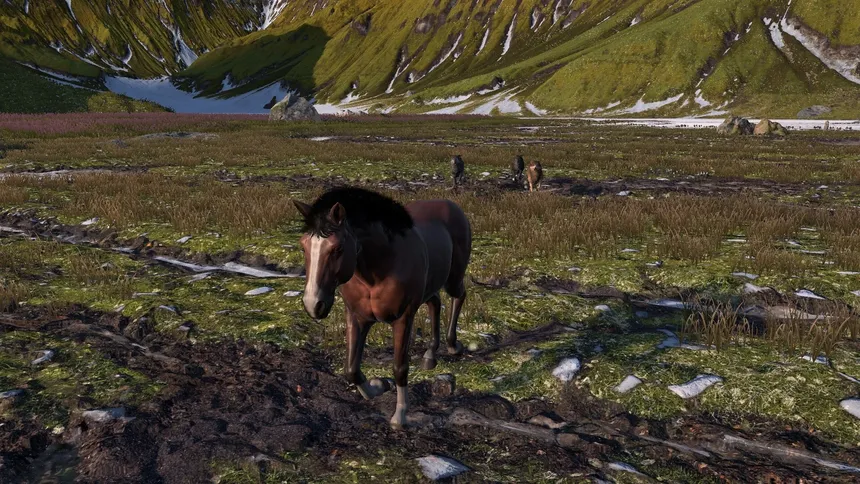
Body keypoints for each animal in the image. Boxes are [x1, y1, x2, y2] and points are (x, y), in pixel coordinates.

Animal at [293, 186, 472, 428]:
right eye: (303, 247)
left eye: (337, 248)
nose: (313, 304)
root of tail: (451, 205)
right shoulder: (356, 317)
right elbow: (351, 369)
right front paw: (377, 387)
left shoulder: (403, 318)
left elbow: (399, 367)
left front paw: (400, 416)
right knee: (435, 303)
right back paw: (429, 355)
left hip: (453, 279)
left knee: (459, 296)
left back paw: (453, 345)